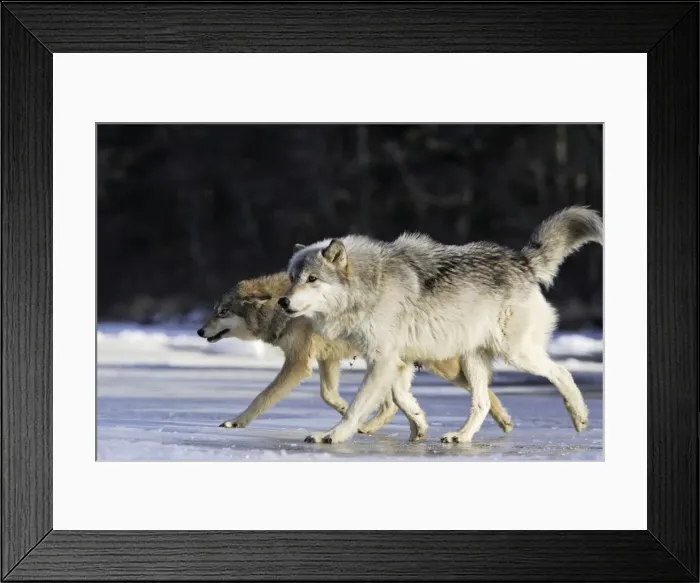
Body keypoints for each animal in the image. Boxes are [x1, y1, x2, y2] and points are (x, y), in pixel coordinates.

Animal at [197, 271, 514, 437]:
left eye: (222, 312)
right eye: (214, 310)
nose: (200, 331)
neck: (280, 310)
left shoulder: (298, 363)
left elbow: (262, 397)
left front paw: (237, 421)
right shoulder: (327, 360)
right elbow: (328, 395)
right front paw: (346, 412)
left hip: (442, 366)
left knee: (484, 389)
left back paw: (501, 421)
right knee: (393, 404)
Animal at [281, 206, 603, 444]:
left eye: (312, 279)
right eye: (292, 278)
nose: (283, 301)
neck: (370, 286)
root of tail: (521, 260)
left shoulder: (383, 360)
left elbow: (356, 408)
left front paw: (331, 435)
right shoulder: (399, 361)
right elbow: (401, 398)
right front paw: (420, 425)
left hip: (515, 354)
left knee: (561, 371)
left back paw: (579, 416)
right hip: (473, 360)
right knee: (482, 403)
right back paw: (461, 436)